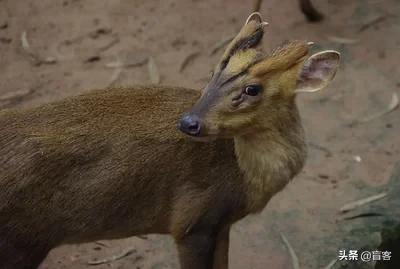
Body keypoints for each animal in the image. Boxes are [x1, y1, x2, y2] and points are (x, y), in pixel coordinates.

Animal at [0, 12, 340, 268]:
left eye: (252, 89)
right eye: (214, 72)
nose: (189, 122)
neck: (243, 176)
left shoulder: (220, 223)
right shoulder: (192, 222)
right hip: (21, 243)